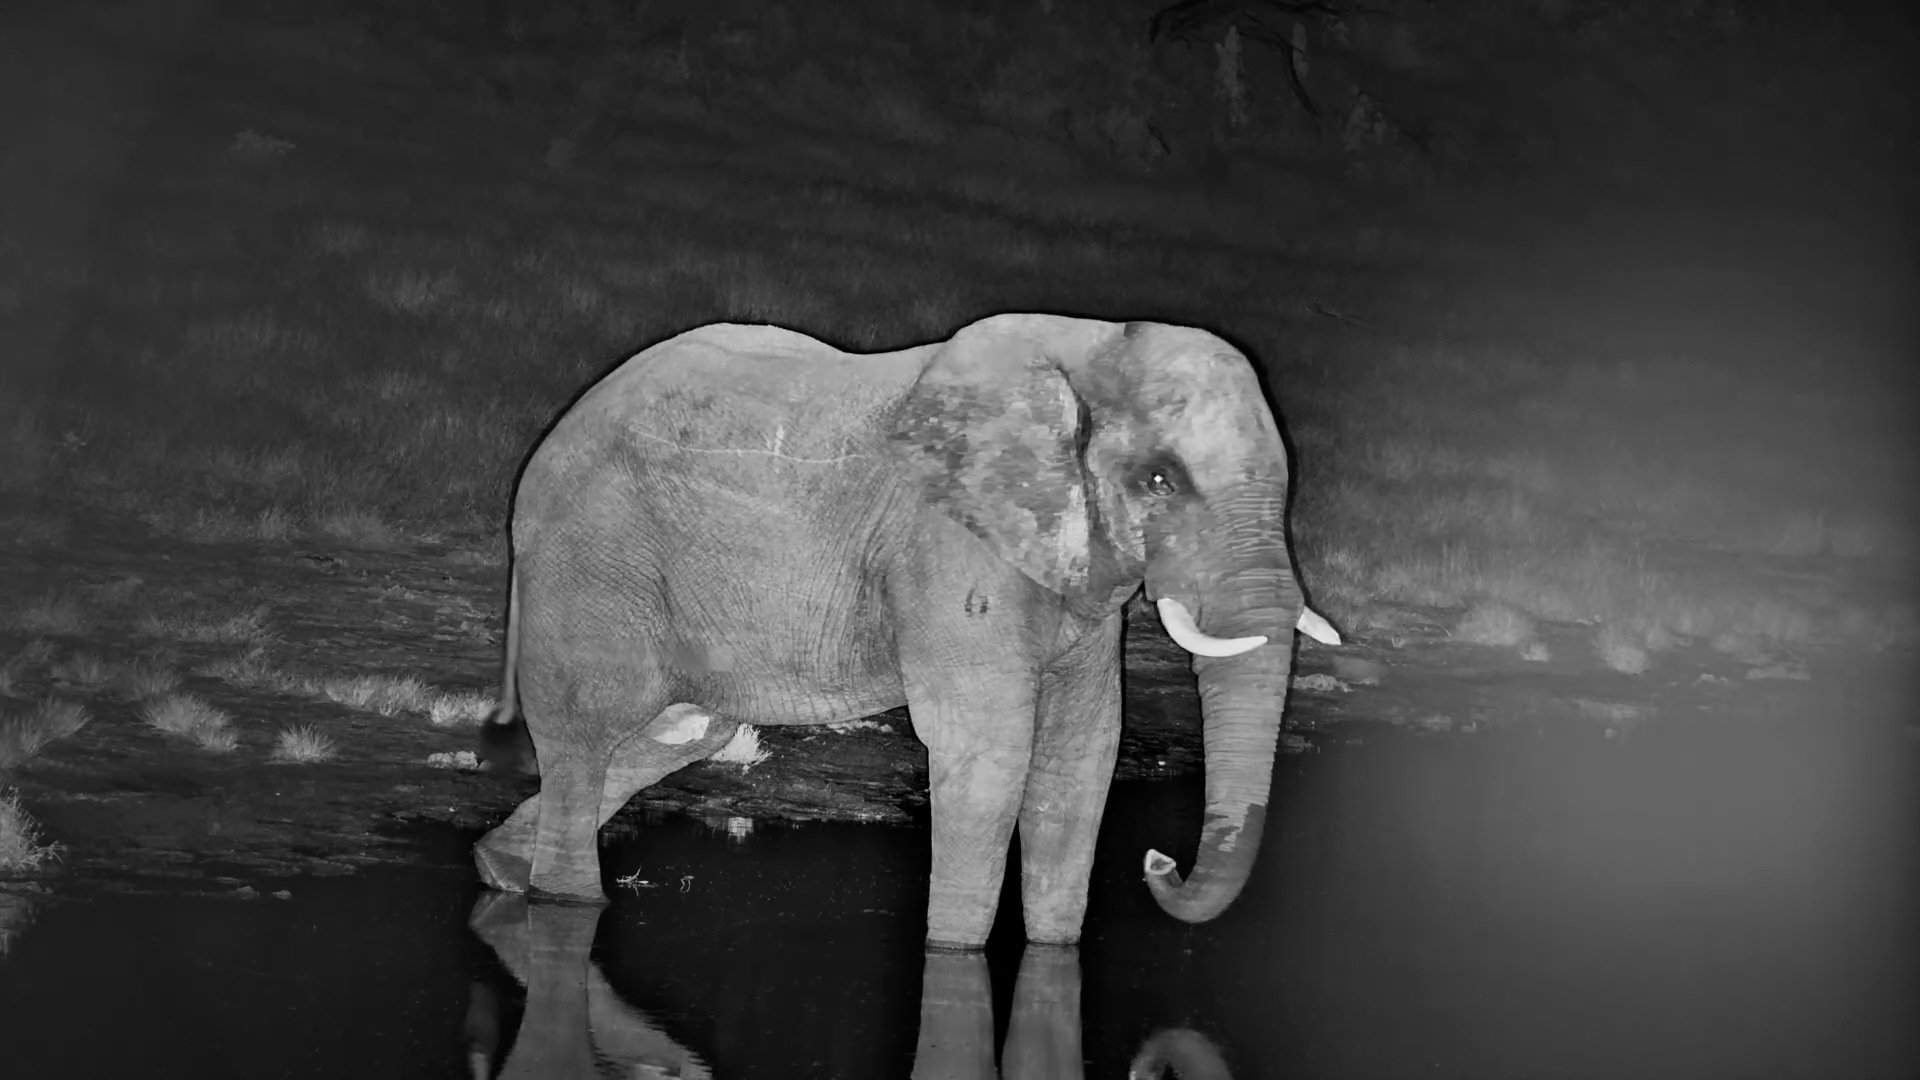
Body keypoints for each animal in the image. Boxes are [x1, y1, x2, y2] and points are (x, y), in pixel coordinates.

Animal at [473, 312, 1340, 949]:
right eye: (1160, 481)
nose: (1160, 860)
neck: (1086, 350)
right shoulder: (948, 545)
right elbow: (988, 752)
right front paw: (952, 955)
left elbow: (1080, 757)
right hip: (591, 566)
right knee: (587, 734)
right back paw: (561, 899)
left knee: (675, 734)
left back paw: (500, 871)